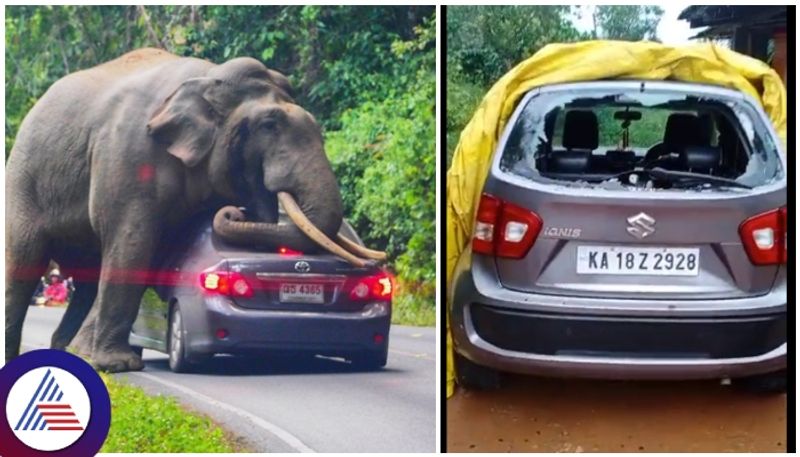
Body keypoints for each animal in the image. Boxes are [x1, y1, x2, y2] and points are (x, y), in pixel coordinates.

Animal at [3, 48, 384, 372]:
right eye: (269, 125)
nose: (236, 210)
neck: (209, 78)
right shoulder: (128, 154)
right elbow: (133, 242)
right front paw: (118, 366)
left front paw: (101, 360)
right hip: (23, 179)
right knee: (25, 261)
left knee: (86, 275)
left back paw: (69, 352)